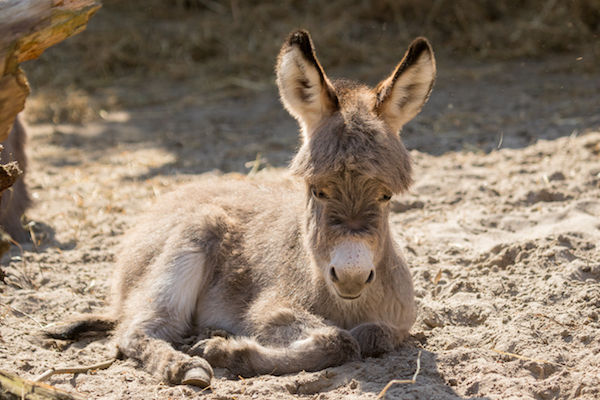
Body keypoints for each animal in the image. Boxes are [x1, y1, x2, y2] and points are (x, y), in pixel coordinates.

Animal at [45, 30, 436, 388]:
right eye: (316, 190)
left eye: (386, 196)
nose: (351, 275)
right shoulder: (268, 310)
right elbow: (339, 340)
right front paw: (225, 351)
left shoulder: (397, 322)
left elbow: (371, 337)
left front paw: (225, 347)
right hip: (186, 246)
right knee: (138, 330)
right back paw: (188, 367)